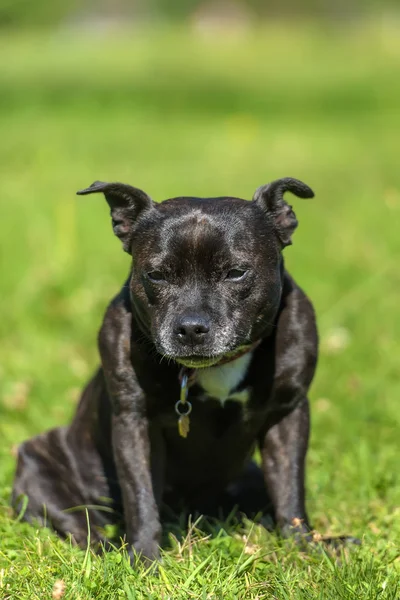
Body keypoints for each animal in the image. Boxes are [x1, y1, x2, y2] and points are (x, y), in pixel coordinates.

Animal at [11, 177, 350, 564]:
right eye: (156, 275)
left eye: (236, 272)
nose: (190, 327)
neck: (220, 365)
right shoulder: (135, 422)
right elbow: (141, 495)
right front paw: (144, 559)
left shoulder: (287, 414)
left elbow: (290, 488)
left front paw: (304, 547)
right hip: (39, 463)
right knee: (80, 523)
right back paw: (108, 549)